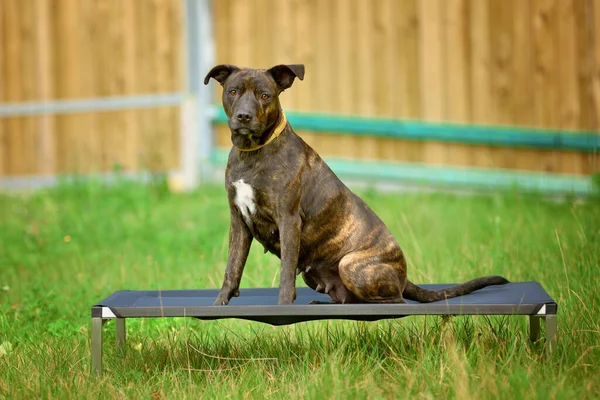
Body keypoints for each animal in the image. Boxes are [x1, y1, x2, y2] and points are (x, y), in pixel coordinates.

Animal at [204, 64, 508, 304]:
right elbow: (232, 269)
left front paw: (283, 307)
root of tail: (404, 275)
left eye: (265, 96)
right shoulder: (239, 222)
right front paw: (220, 305)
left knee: (394, 301)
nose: (244, 116)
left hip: (351, 265)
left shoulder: (288, 221)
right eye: (233, 91)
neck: (253, 152)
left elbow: (285, 275)